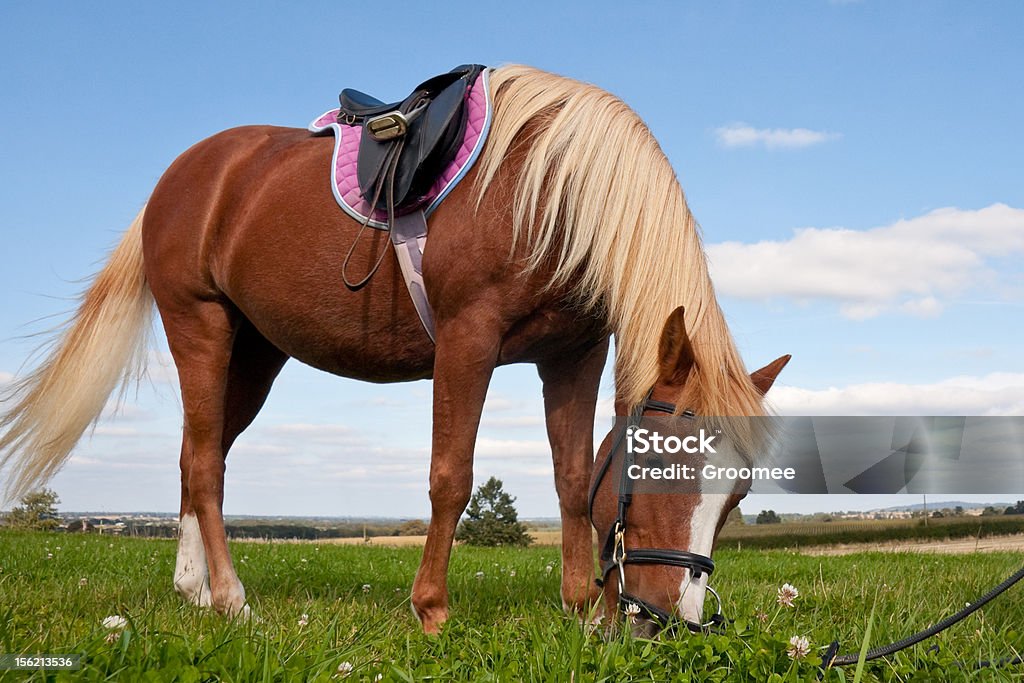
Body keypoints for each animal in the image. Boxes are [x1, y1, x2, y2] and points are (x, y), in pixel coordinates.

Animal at [0, 66, 790, 634]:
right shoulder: (470, 337)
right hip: (201, 326)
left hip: (254, 353)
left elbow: (570, 478)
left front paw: (573, 608)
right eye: (657, 465)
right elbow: (451, 476)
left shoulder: (574, 353)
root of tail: (185, 175)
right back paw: (229, 599)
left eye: (740, 493)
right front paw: (431, 609)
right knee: (202, 462)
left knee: (201, 453)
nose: (669, 621)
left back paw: (192, 589)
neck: (555, 192)